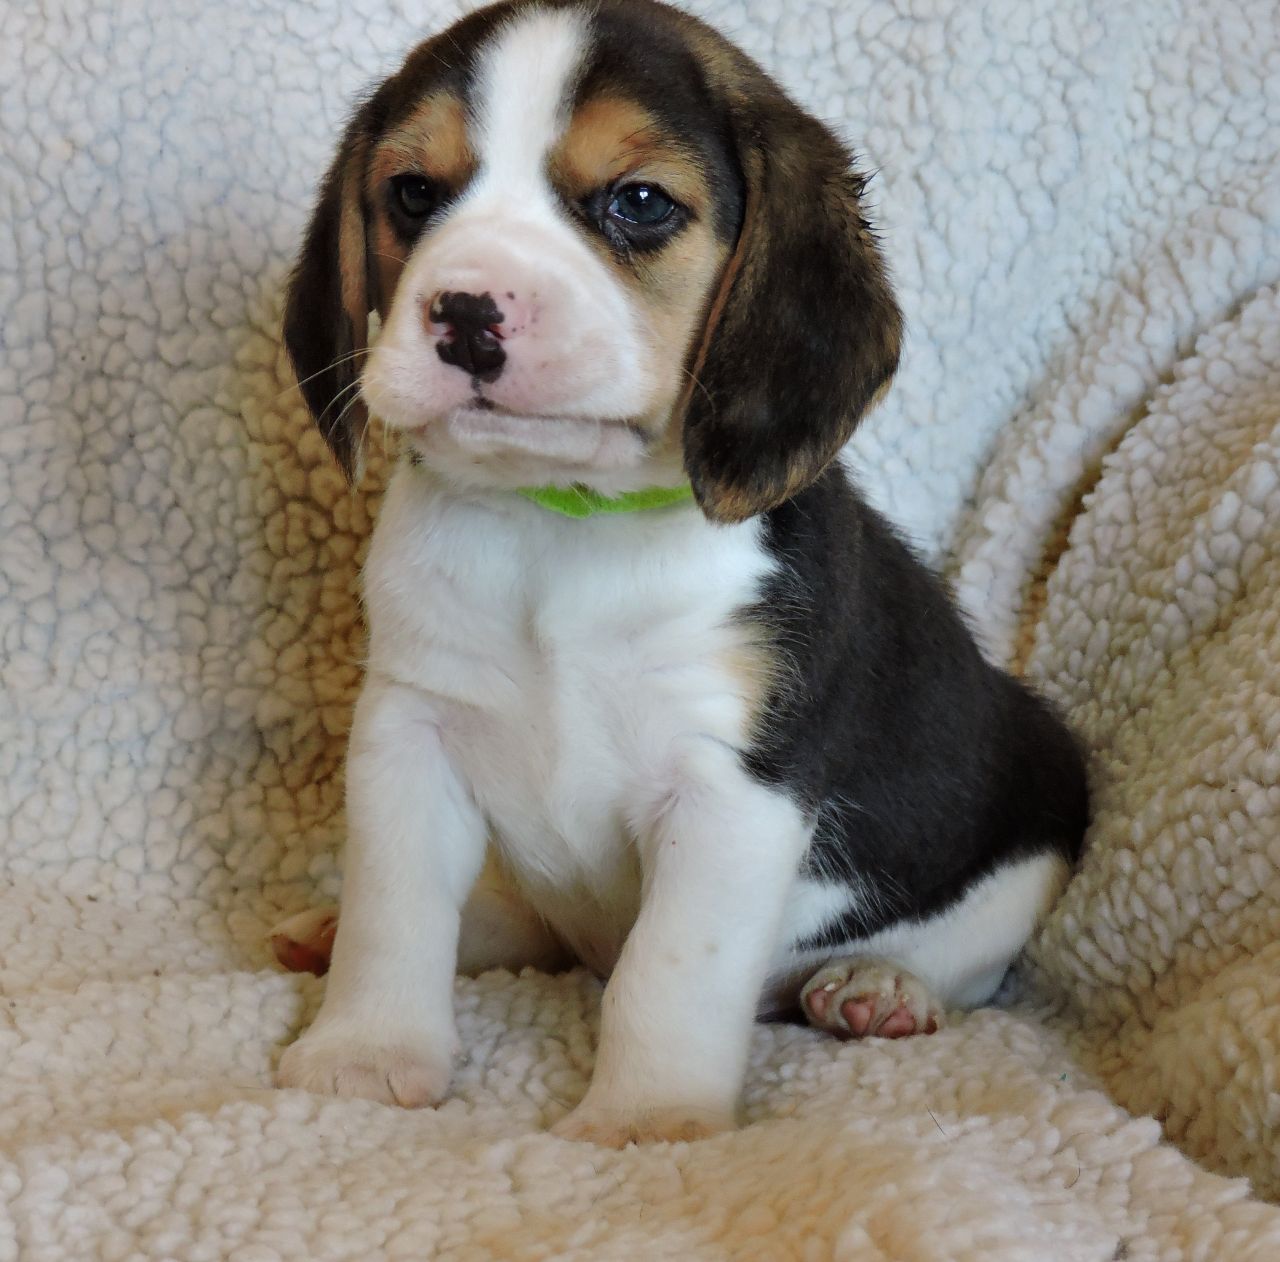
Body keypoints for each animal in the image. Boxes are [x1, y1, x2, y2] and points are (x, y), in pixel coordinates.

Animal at [272, 0, 1090, 1141]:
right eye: (413, 194)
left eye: (639, 201)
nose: (467, 312)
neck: (562, 521)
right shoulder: (409, 732)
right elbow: (397, 913)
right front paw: (364, 1052)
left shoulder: (730, 790)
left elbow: (666, 974)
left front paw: (646, 1123)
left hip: (1030, 829)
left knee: (957, 961)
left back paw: (880, 986)